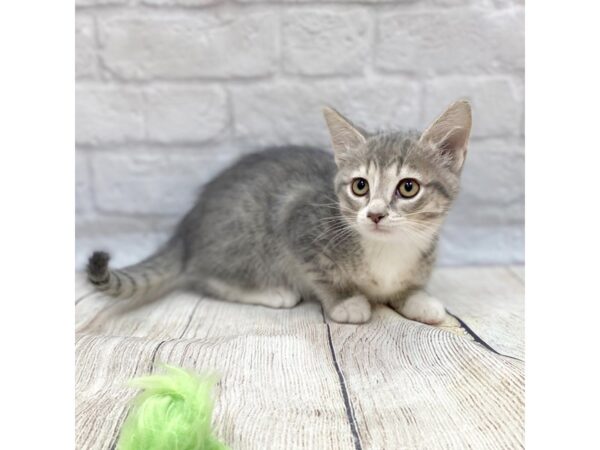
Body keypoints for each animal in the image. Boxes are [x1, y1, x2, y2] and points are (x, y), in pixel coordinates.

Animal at [86, 99, 474, 324]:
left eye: (408, 187)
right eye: (360, 186)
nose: (375, 214)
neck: (388, 249)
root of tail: (187, 226)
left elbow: (408, 288)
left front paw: (420, 300)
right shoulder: (297, 222)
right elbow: (324, 277)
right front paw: (346, 302)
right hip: (248, 237)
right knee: (206, 277)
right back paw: (273, 292)